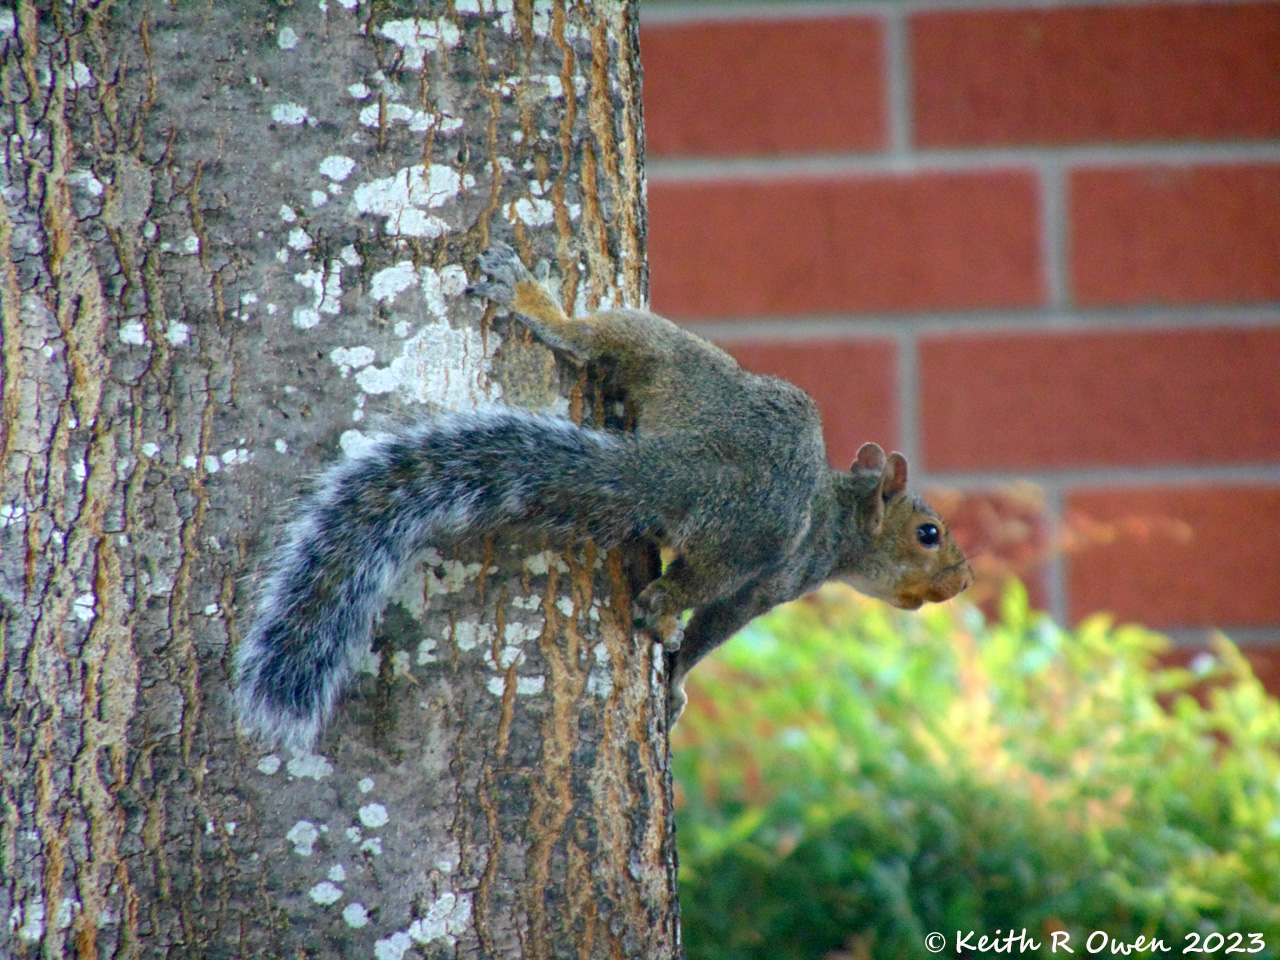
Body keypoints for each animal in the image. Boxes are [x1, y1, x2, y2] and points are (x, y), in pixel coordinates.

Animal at [233, 243, 971, 751]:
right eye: (929, 533)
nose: (963, 580)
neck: (837, 516)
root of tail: (692, 464)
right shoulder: (771, 585)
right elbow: (711, 630)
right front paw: (678, 684)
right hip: (728, 498)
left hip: (679, 371)